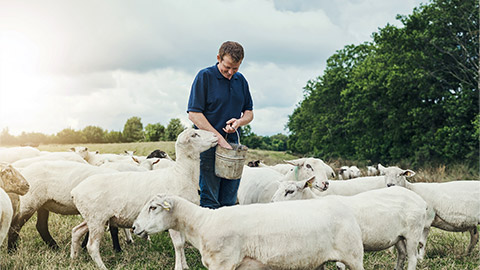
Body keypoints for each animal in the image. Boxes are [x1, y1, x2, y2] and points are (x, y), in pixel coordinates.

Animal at [70, 128, 218, 270]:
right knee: (92, 247)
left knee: (76, 231)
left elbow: (181, 243)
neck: (181, 174)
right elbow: (178, 244)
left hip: (95, 218)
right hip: (96, 219)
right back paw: (102, 267)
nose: (216, 135)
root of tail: (75, 190)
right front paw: (179, 267)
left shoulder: (180, 218)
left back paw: (74, 258)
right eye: (194, 135)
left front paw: (185, 265)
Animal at [131, 193, 364, 270]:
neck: (202, 223)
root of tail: (346, 208)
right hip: (316, 261)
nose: (134, 227)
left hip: (353, 257)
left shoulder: (222, 264)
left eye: (153, 207)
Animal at [272, 177, 434, 270]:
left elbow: (340, 266)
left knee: (412, 258)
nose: (272, 203)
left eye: (290, 191)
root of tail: (421, 201)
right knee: (402, 254)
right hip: (398, 236)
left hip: (413, 233)